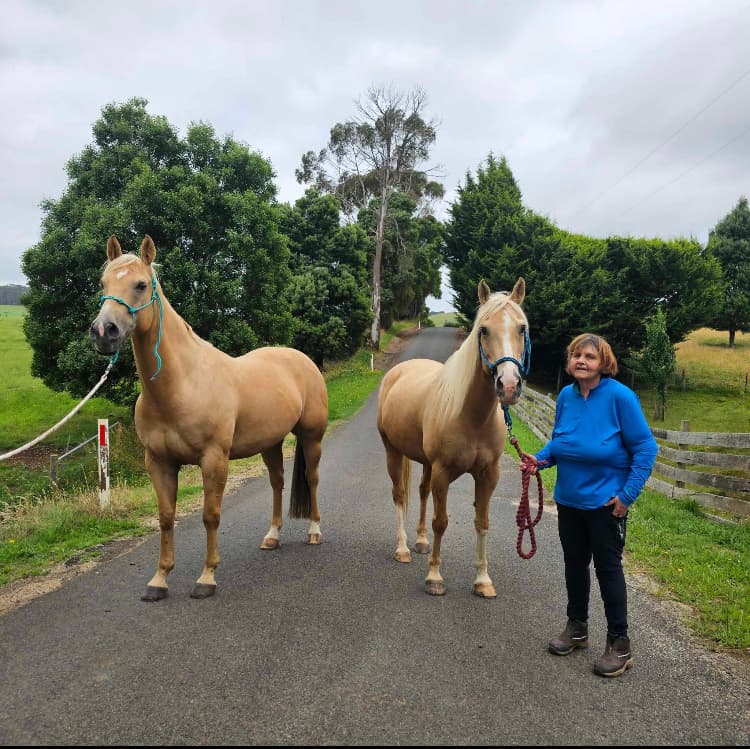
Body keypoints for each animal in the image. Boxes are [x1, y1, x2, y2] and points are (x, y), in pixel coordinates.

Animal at [89, 235, 328, 601]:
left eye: (141, 285)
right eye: (103, 284)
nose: (104, 332)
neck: (182, 385)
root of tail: (302, 360)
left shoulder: (214, 459)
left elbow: (210, 516)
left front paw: (207, 578)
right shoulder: (158, 462)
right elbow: (165, 517)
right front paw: (159, 580)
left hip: (312, 437)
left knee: (311, 479)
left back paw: (314, 531)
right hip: (270, 443)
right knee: (277, 482)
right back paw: (272, 536)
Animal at [376, 278, 530, 597]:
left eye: (522, 328)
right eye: (483, 330)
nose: (509, 385)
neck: (472, 417)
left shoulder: (488, 475)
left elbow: (482, 522)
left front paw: (483, 580)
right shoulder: (443, 472)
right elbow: (441, 522)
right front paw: (434, 577)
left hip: (425, 463)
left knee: (421, 492)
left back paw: (420, 542)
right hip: (393, 451)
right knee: (399, 494)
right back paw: (403, 549)